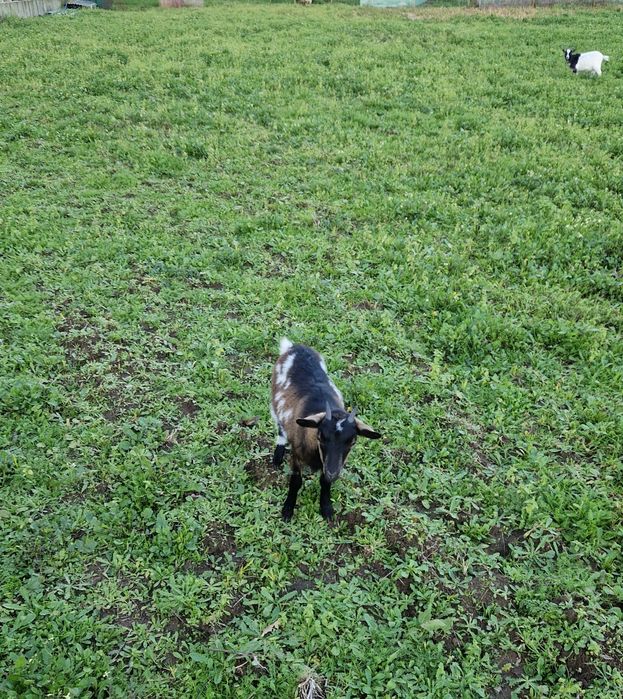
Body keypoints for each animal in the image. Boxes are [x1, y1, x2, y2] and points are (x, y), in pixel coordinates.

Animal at [271, 338, 381, 521]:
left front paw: (327, 508)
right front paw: (287, 510)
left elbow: (324, 482)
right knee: (280, 427)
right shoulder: (296, 455)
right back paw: (277, 456)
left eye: (352, 441)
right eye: (321, 436)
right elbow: (296, 481)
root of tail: (294, 347)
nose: (333, 472)